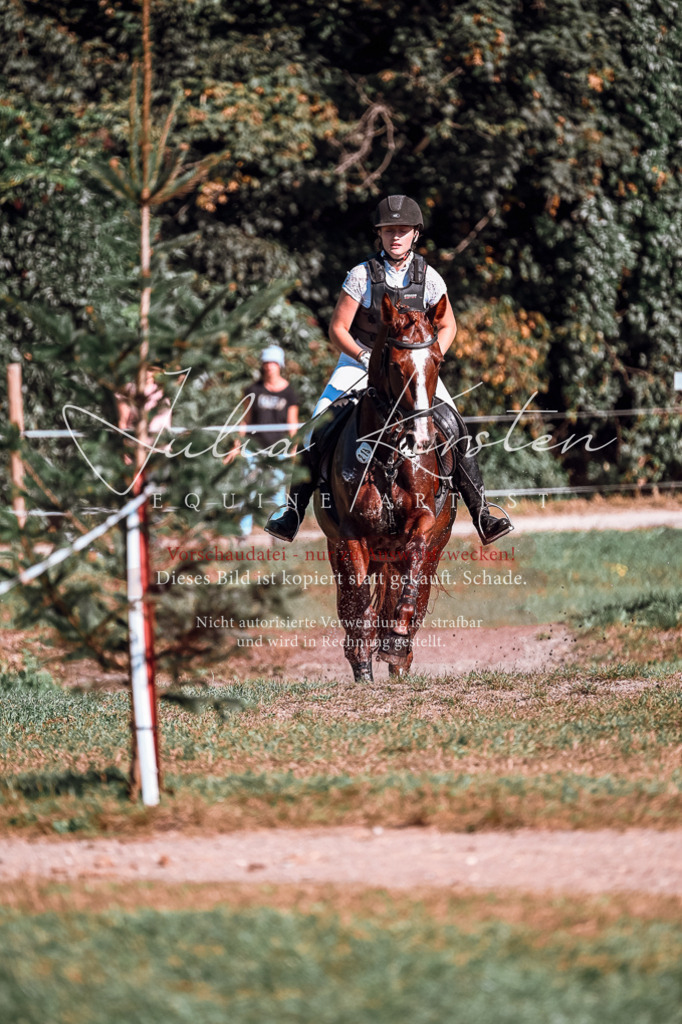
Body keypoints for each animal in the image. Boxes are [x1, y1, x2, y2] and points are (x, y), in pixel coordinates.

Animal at [313, 293, 458, 681]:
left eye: (438, 360)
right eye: (395, 364)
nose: (421, 438)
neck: (389, 450)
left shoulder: (423, 522)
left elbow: (413, 567)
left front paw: (396, 637)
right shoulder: (350, 535)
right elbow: (359, 602)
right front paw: (364, 665)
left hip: (429, 550)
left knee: (416, 591)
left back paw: (400, 656)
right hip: (341, 550)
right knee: (351, 601)